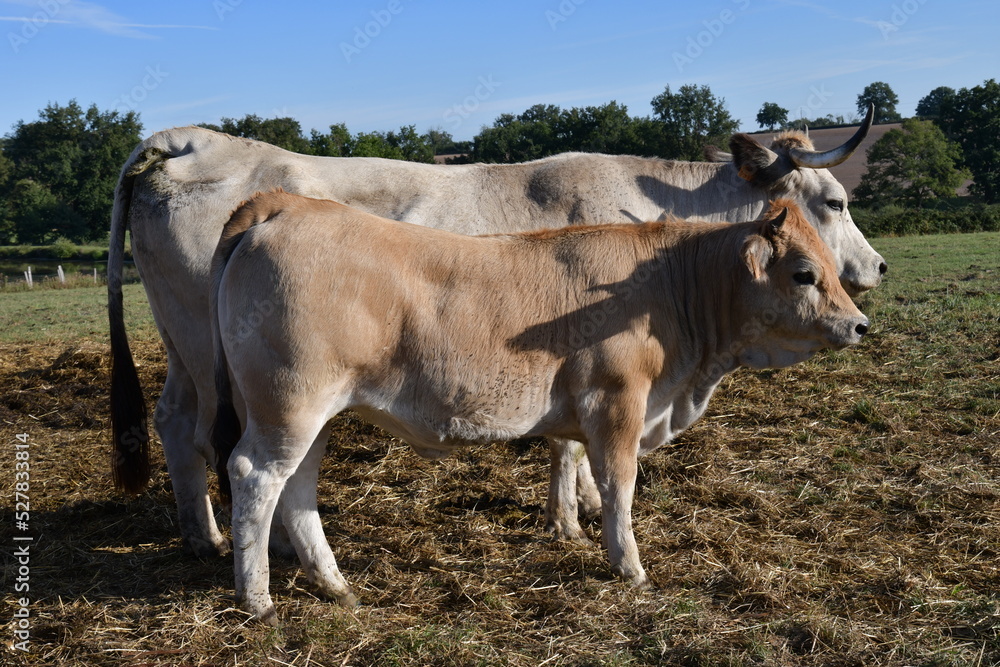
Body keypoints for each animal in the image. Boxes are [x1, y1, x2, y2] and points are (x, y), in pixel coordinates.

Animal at [108, 105, 884, 558]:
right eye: (835, 200)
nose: (875, 267)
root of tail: (184, 140)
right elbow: (574, 450)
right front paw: (577, 516)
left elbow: (570, 443)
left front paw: (576, 507)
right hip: (216, 356)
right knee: (214, 442)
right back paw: (222, 540)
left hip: (185, 346)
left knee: (174, 422)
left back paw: (201, 533)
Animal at [209, 192, 869, 625]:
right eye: (804, 273)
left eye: (830, 269)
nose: (859, 324)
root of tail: (286, 205)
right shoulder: (619, 399)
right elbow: (619, 483)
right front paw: (628, 565)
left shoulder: (579, 402)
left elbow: (566, 454)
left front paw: (568, 526)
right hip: (290, 406)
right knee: (255, 478)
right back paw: (258, 600)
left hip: (309, 414)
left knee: (297, 490)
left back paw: (335, 585)